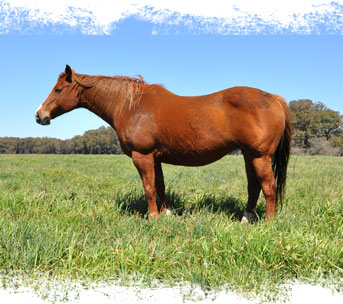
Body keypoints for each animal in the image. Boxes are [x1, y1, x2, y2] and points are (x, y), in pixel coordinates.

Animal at [36, 65, 292, 224]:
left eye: (58, 89)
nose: (40, 116)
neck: (132, 106)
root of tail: (275, 99)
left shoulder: (142, 156)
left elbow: (148, 188)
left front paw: (153, 218)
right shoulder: (155, 157)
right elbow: (160, 186)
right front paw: (166, 213)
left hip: (259, 156)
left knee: (269, 187)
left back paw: (268, 224)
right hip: (250, 155)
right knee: (254, 186)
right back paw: (246, 218)